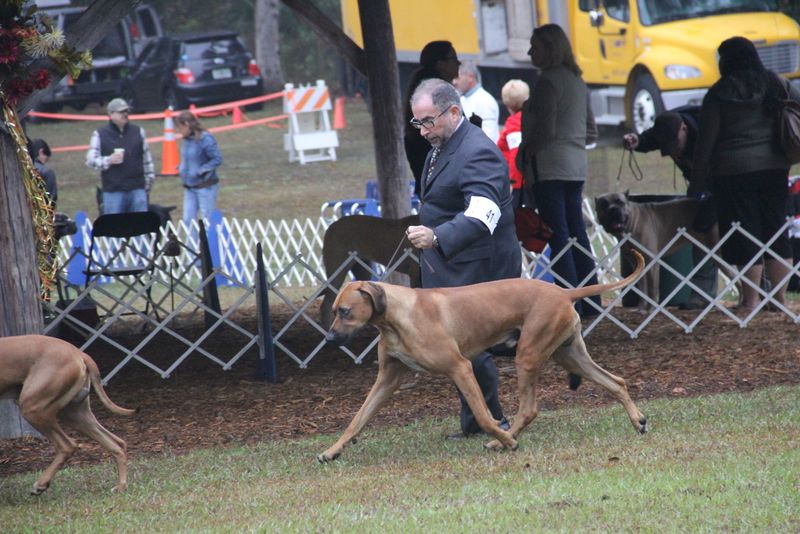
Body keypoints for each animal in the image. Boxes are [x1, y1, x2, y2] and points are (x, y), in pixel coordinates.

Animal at [0, 338, 135, 496]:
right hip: (75, 415)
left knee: (68, 445)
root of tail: (79, 353)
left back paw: (41, 484)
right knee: (118, 443)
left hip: (33, 407)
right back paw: (121, 485)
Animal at [318, 250, 648, 460]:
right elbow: (357, 419)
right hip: (569, 356)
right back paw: (638, 420)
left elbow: (483, 414)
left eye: (345, 311)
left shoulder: (460, 368)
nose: (330, 337)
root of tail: (563, 292)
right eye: (333, 311)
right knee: (617, 382)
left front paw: (505, 440)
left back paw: (503, 441)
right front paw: (333, 450)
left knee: (529, 409)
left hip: (528, 355)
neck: (397, 316)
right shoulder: (387, 379)